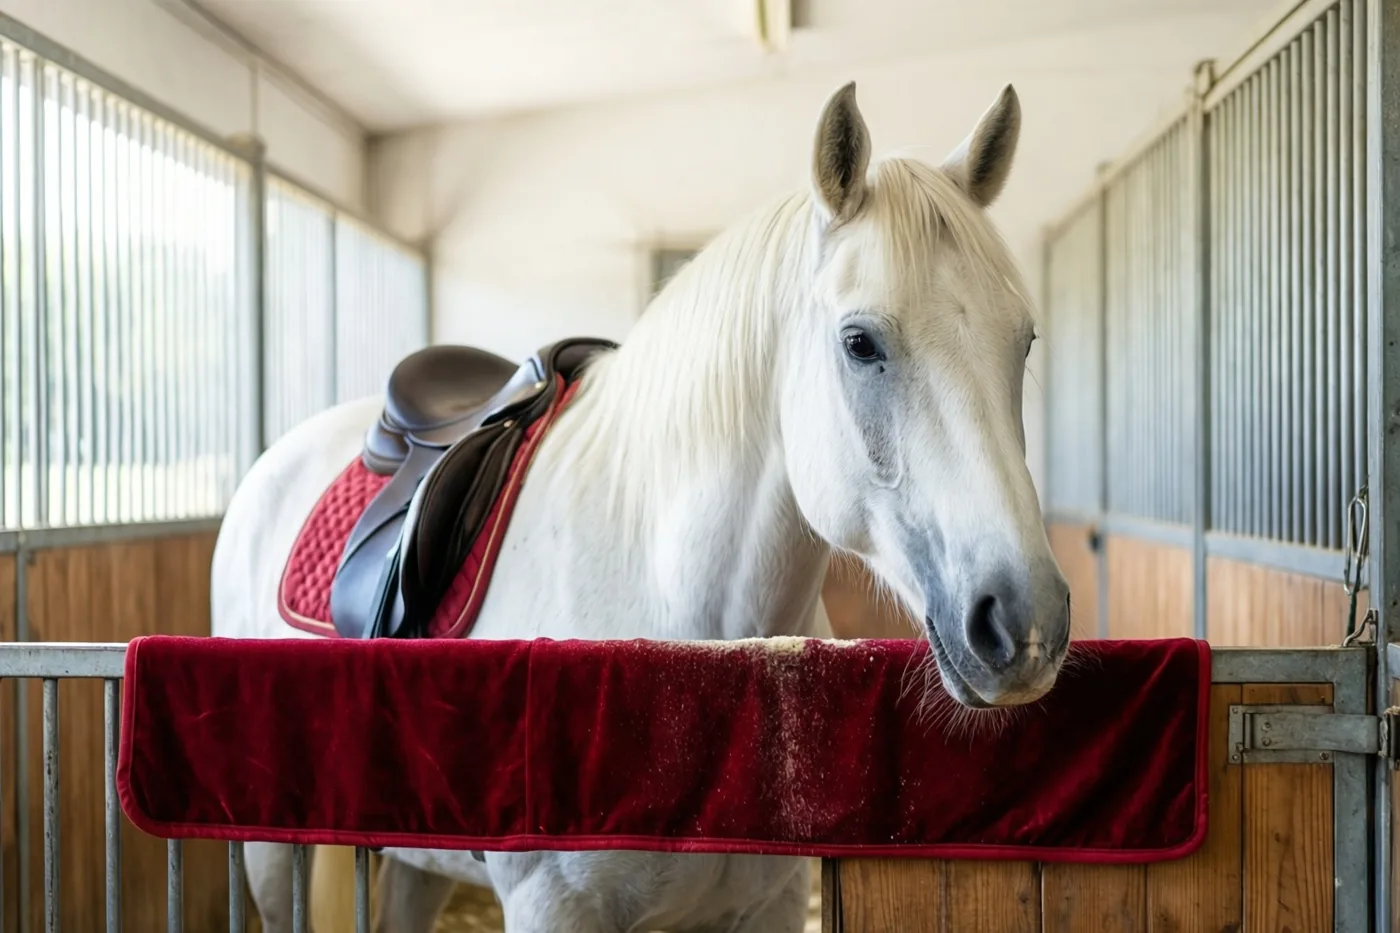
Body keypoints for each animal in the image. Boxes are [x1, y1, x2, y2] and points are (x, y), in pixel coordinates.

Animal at [210, 79, 1071, 933]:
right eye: (861, 343)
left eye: (1024, 340)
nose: (1023, 625)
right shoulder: (552, 907)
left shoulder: (767, 904)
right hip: (273, 856)